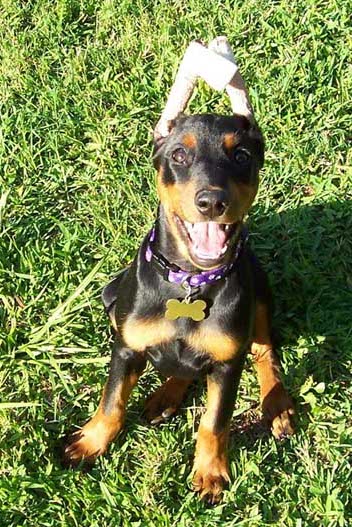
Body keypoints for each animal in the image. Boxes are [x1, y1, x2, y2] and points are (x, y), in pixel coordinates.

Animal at [64, 111, 294, 504]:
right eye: (179, 156)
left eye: (242, 156)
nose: (211, 203)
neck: (189, 281)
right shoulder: (126, 348)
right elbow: (112, 402)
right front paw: (91, 443)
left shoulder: (227, 363)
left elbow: (213, 423)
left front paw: (210, 472)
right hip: (111, 295)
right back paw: (165, 396)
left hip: (260, 293)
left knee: (265, 352)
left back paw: (276, 403)